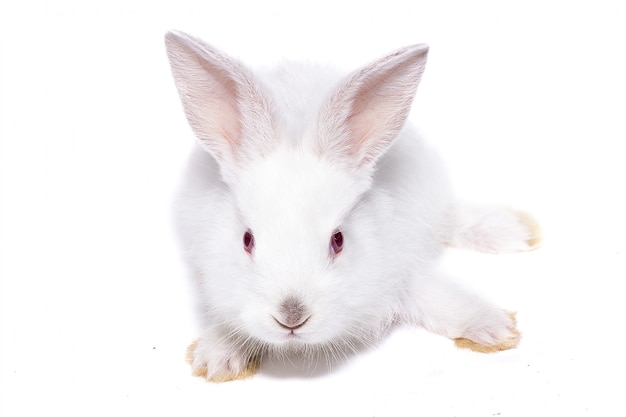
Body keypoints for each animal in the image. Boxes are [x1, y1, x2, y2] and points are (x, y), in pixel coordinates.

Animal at [163, 29, 540, 382]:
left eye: (339, 240)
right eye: (247, 240)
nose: (292, 316)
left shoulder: (399, 271)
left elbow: (437, 300)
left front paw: (495, 329)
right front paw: (217, 358)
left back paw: (515, 230)